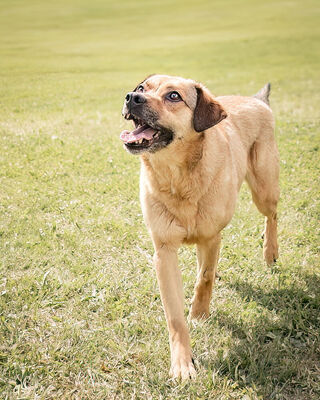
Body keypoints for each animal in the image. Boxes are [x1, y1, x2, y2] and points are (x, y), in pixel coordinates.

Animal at [119, 74, 278, 378]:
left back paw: (270, 251)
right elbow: (174, 317)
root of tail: (256, 100)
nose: (132, 97)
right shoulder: (164, 251)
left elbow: (204, 278)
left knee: (271, 216)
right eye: (143, 87)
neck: (178, 177)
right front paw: (182, 363)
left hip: (264, 189)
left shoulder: (210, 236)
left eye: (173, 96)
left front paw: (199, 314)